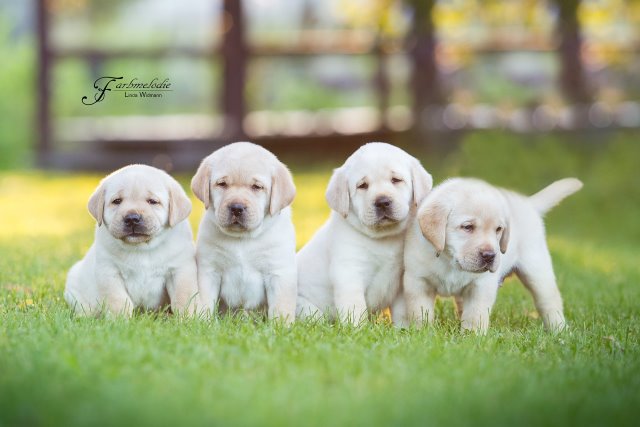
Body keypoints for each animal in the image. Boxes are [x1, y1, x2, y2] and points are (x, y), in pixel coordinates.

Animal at [64, 166, 198, 316]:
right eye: (117, 201)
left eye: (153, 201)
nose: (132, 218)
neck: (142, 248)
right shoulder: (109, 271)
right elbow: (119, 300)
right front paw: (120, 319)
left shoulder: (180, 269)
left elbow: (183, 298)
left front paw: (188, 318)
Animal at [191, 142, 298, 322]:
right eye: (222, 184)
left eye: (257, 187)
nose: (236, 208)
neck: (242, 238)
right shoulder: (209, 271)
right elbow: (205, 302)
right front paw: (203, 323)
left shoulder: (279, 273)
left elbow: (281, 309)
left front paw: (281, 327)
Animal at [298, 143, 432, 324]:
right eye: (362, 186)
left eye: (396, 180)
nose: (382, 202)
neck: (384, 237)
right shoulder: (349, 272)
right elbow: (355, 308)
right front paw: (356, 328)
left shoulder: (401, 280)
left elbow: (402, 311)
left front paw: (403, 328)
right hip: (307, 309)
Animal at [402, 177, 584, 334]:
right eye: (467, 227)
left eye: (498, 229)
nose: (490, 256)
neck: (450, 261)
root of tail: (528, 203)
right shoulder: (417, 282)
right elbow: (420, 312)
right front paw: (421, 332)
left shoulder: (481, 285)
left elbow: (475, 314)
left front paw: (472, 337)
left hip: (537, 269)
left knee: (549, 301)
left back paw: (559, 330)